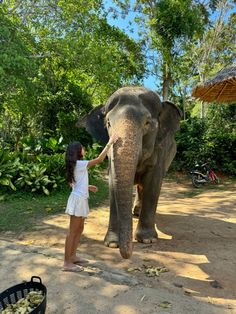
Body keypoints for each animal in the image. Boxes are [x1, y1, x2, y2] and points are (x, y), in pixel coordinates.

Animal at [78, 86, 182, 260]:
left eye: (147, 123)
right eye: (108, 123)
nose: (127, 254)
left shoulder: (161, 149)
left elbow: (153, 183)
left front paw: (147, 240)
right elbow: (113, 183)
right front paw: (112, 244)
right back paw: (135, 213)